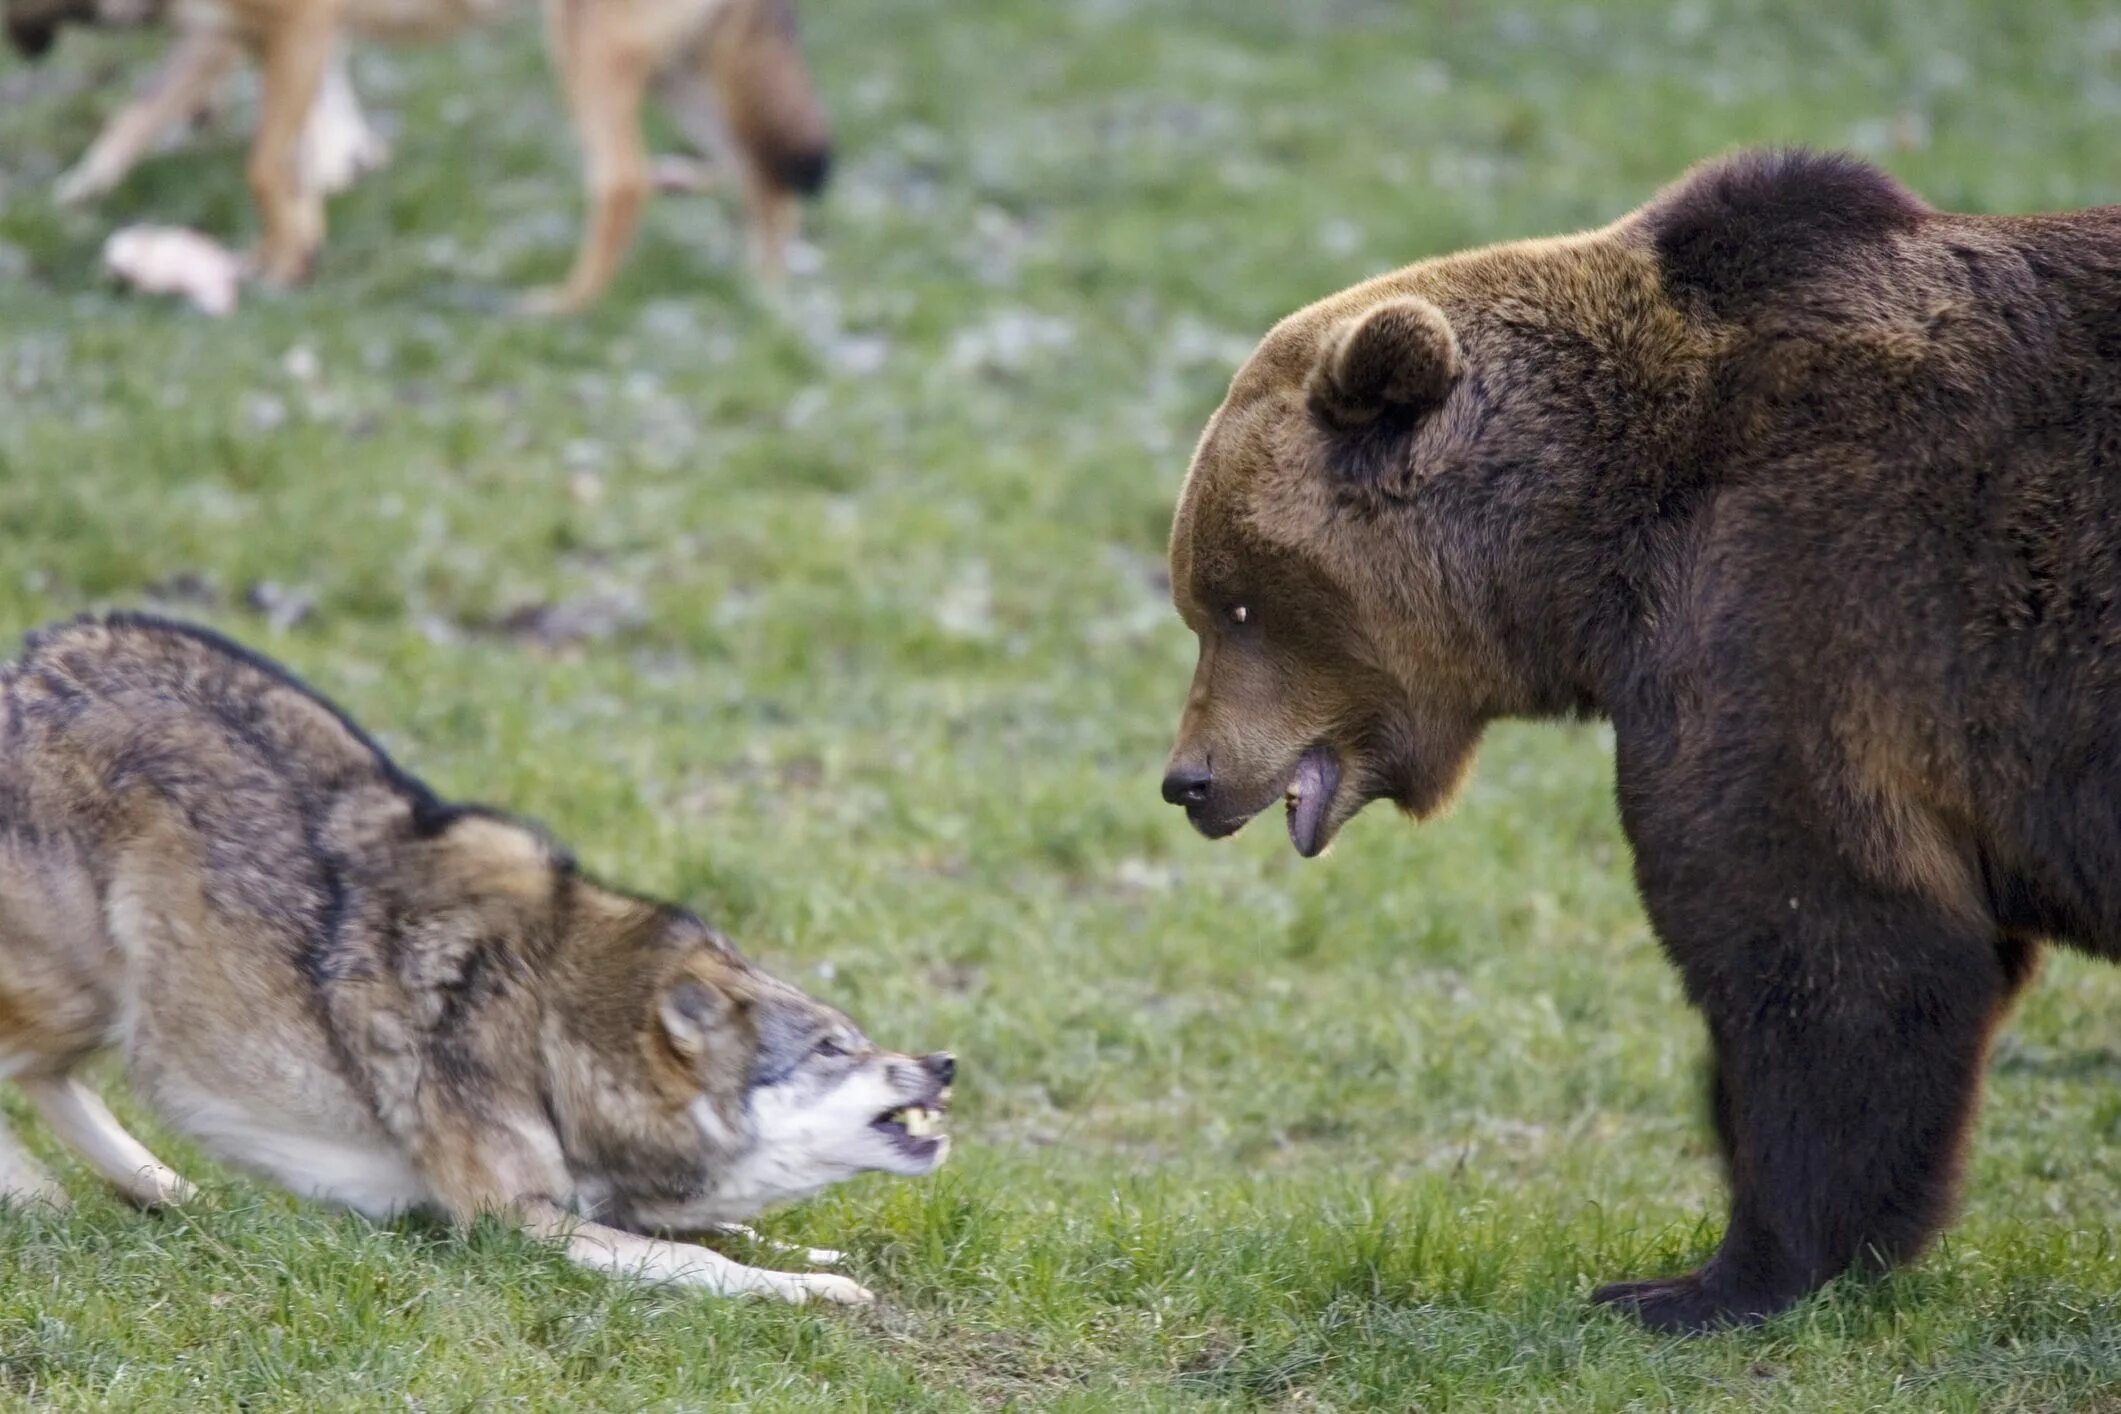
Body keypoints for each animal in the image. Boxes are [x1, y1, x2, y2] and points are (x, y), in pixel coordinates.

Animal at [0, 614, 954, 1297]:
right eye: (832, 1048)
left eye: (855, 1037)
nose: (943, 1063)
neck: (552, 1038)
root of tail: (23, 664)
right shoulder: (511, 1222)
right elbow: (708, 1260)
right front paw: (814, 1291)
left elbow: (733, 1228)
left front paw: (817, 1256)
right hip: (94, 994)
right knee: (27, 1073)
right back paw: (45, 1197)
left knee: (55, 1085)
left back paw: (179, 1198)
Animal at [10, 0, 835, 311]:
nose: (22, 47)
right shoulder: (241, 39)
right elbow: (147, 124)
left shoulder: (294, 33)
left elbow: (263, 166)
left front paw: (280, 267)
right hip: (680, 82)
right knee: (765, 182)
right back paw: (764, 296)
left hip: (586, 62)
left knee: (628, 183)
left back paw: (558, 305)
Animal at [1162, 149, 2121, 1331]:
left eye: (1234, 601)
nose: (1189, 778)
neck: (1593, 541)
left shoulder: (1801, 609)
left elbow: (1827, 941)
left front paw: (1706, 1279)